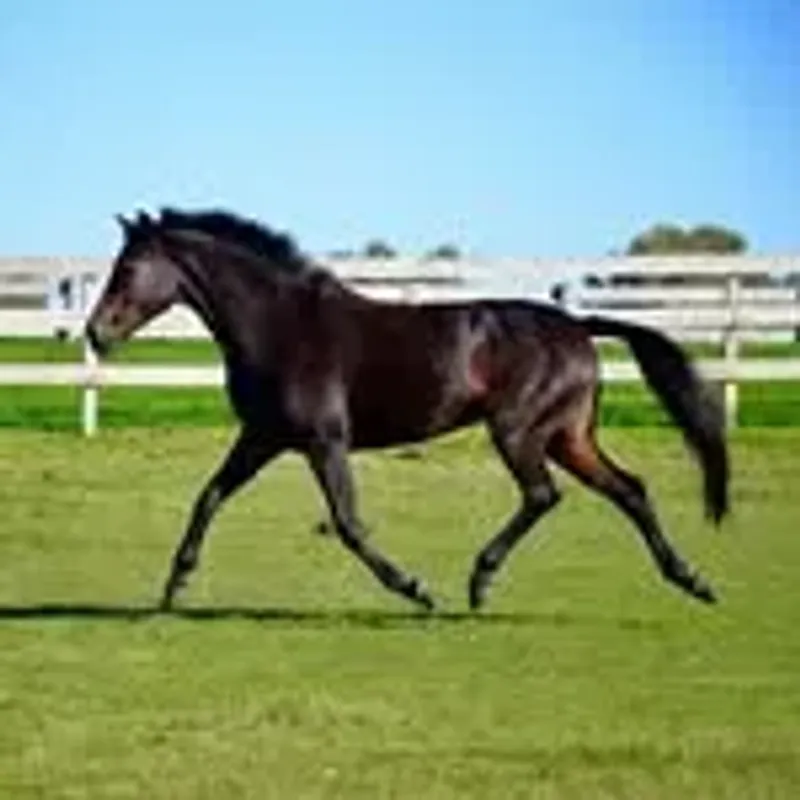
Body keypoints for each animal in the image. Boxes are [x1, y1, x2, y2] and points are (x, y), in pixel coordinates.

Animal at [85, 208, 729, 613]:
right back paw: (692, 580)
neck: (280, 327)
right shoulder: (263, 437)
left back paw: (479, 581)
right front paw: (174, 587)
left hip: (520, 432)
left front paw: (415, 588)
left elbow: (348, 523)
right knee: (629, 489)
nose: (95, 332)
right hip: (568, 437)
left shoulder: (324, 441)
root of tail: (578, 325)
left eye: (127, 269)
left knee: (544, 495)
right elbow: (209, 497)